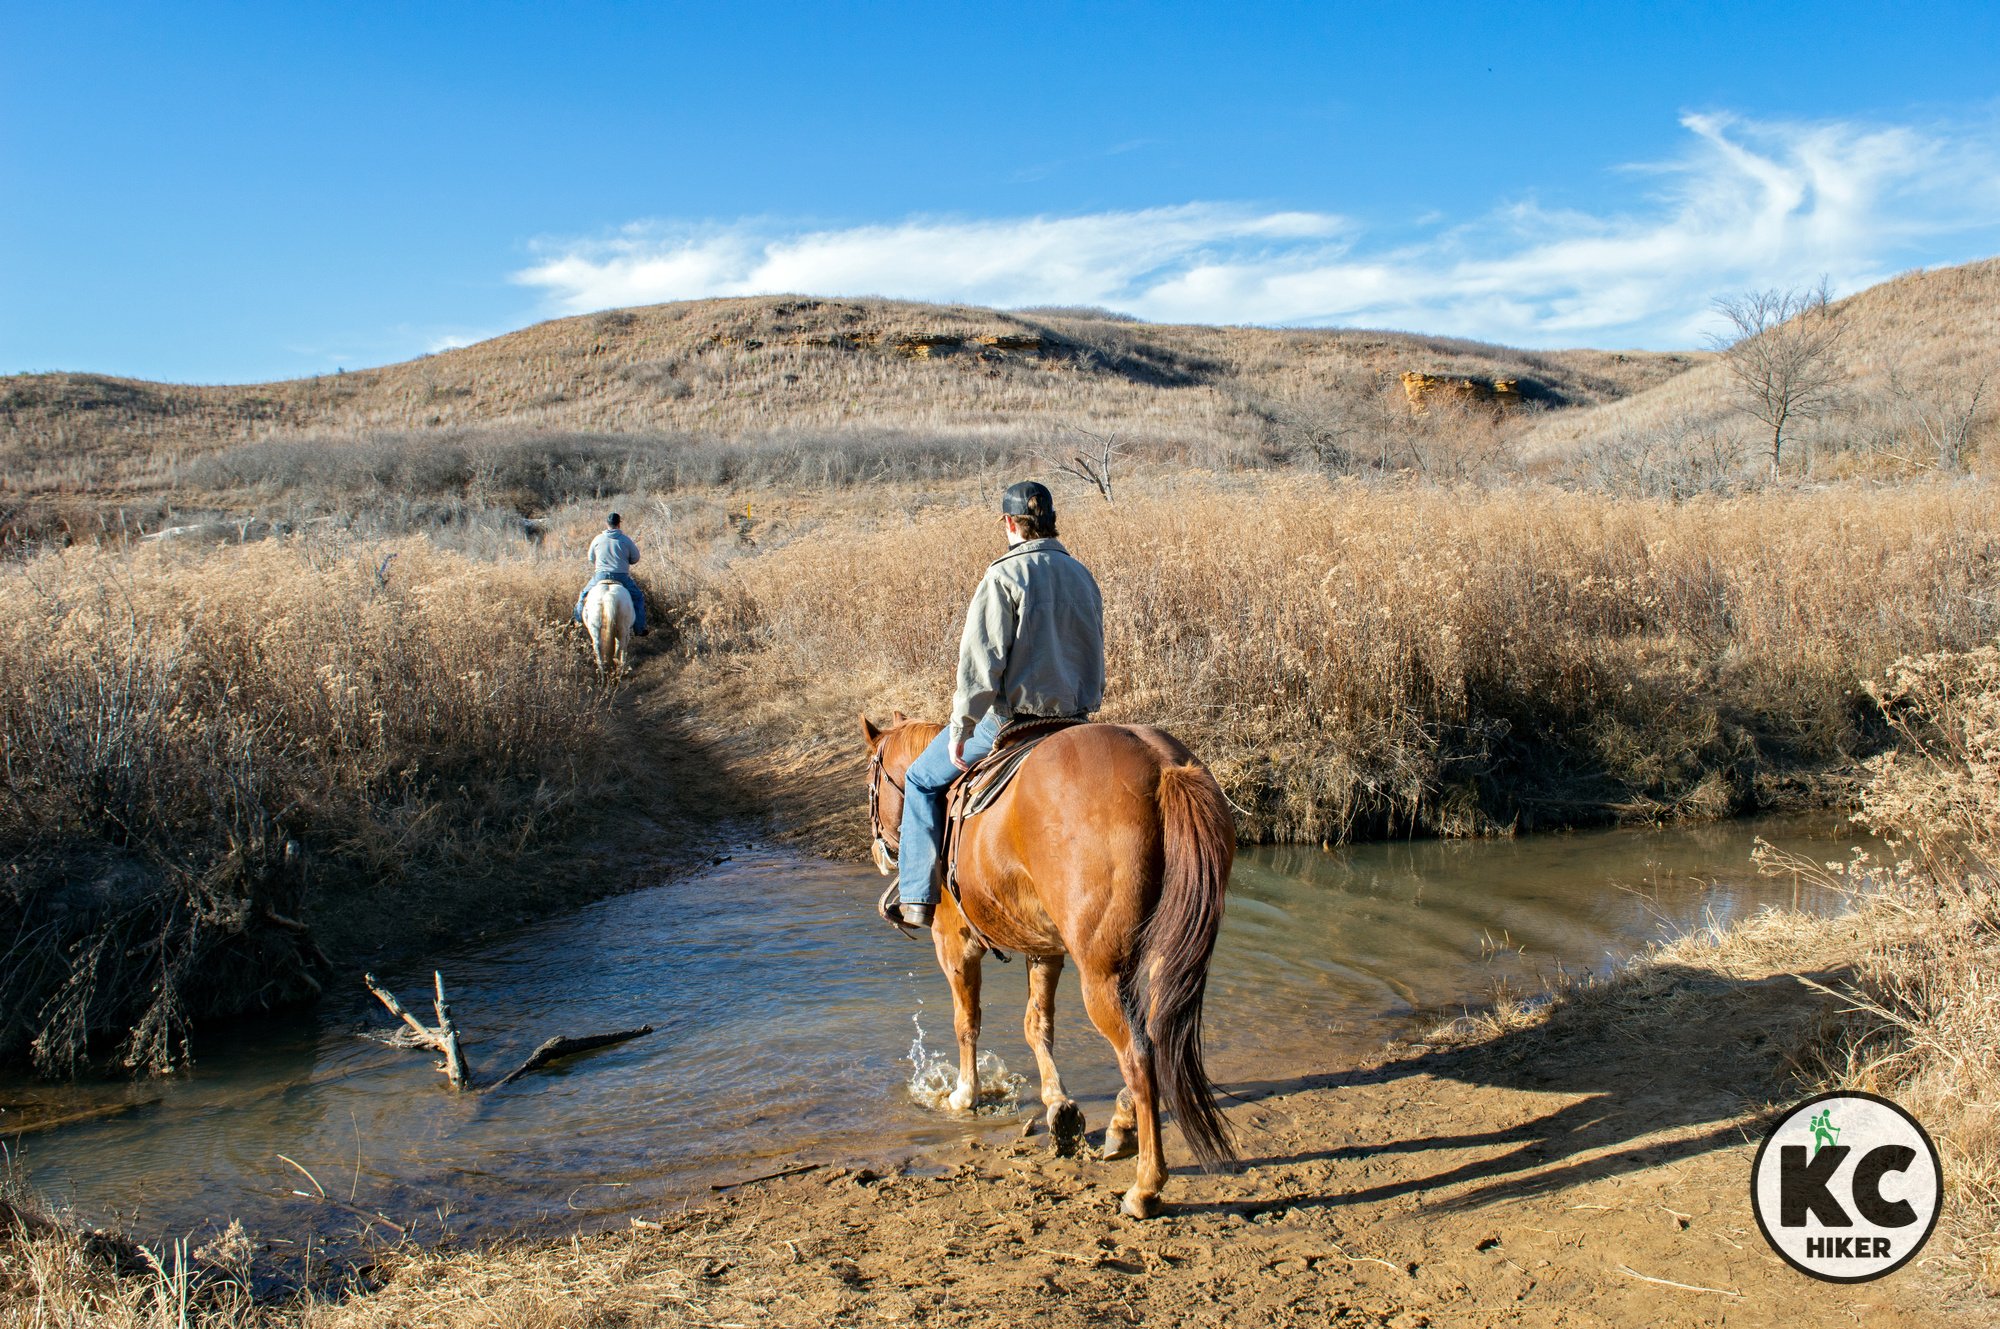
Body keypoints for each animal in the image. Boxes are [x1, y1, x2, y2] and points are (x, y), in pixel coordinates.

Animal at [860, 712, 1232, 1216]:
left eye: (870, 781)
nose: (879, 851)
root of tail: (1163, 767)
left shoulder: (955, 946)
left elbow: (966, 1023)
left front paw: (964, 1094)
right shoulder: (1046, 950)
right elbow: (1036, 1024)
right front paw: (1058, 1104)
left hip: (1102, 974)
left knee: (1138, 1057)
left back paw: (1145, 1186)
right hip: (1160, 956)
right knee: (1154, 1033)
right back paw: (1120, 1125)